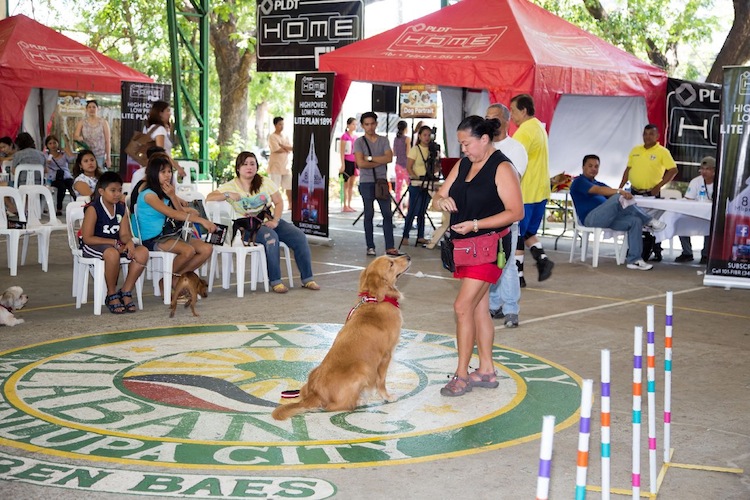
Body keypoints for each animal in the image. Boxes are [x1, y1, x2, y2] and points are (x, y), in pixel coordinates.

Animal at [274, 254, 412, 422]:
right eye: (391, 263)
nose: (408, 256)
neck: (375, 299)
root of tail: (315, 394)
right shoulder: (385, 356)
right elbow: (381, 382)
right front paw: (387, 396)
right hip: (362, 369)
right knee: (333, 407)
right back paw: (357, 401)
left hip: (313, 372)